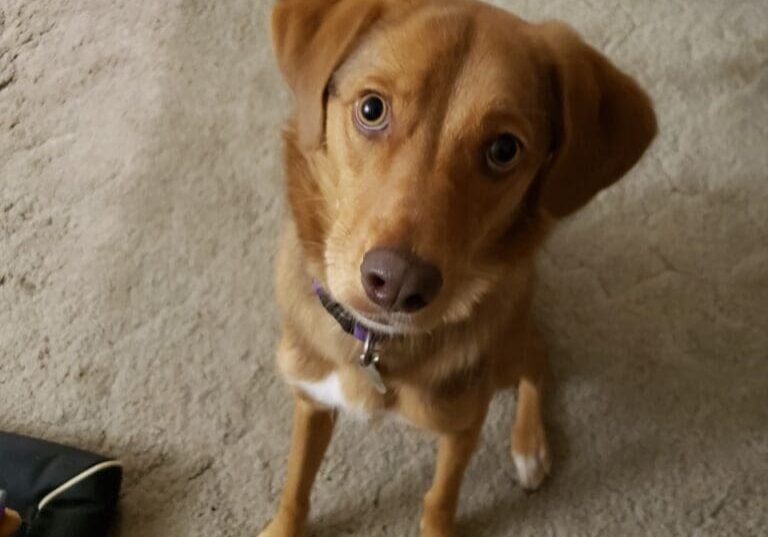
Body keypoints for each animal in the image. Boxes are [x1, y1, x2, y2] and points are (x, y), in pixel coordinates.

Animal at [260, 1, 656, 536]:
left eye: (504, 149)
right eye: (371, 109)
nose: (398, 284)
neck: (377, 348)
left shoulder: (463, 425)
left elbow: (440, 499)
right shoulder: (312, 397)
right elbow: (296, 483)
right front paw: (283, 524)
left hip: (505, 353)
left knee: (538, 358)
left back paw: (530, 446)